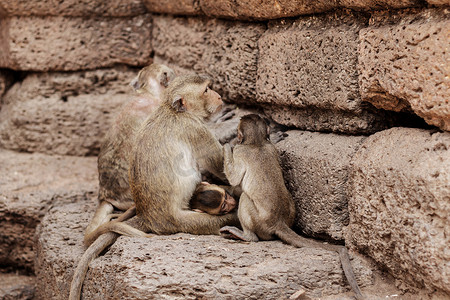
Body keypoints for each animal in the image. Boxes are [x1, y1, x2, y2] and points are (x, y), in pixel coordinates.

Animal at [221, 114, 366, 300]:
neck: (257, 143)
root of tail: (278, 223)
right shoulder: (272, 149)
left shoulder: (241, 152)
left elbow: (234, 178)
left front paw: (226, 145)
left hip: (259, 223)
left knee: (245, 199)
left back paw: (247, 236)